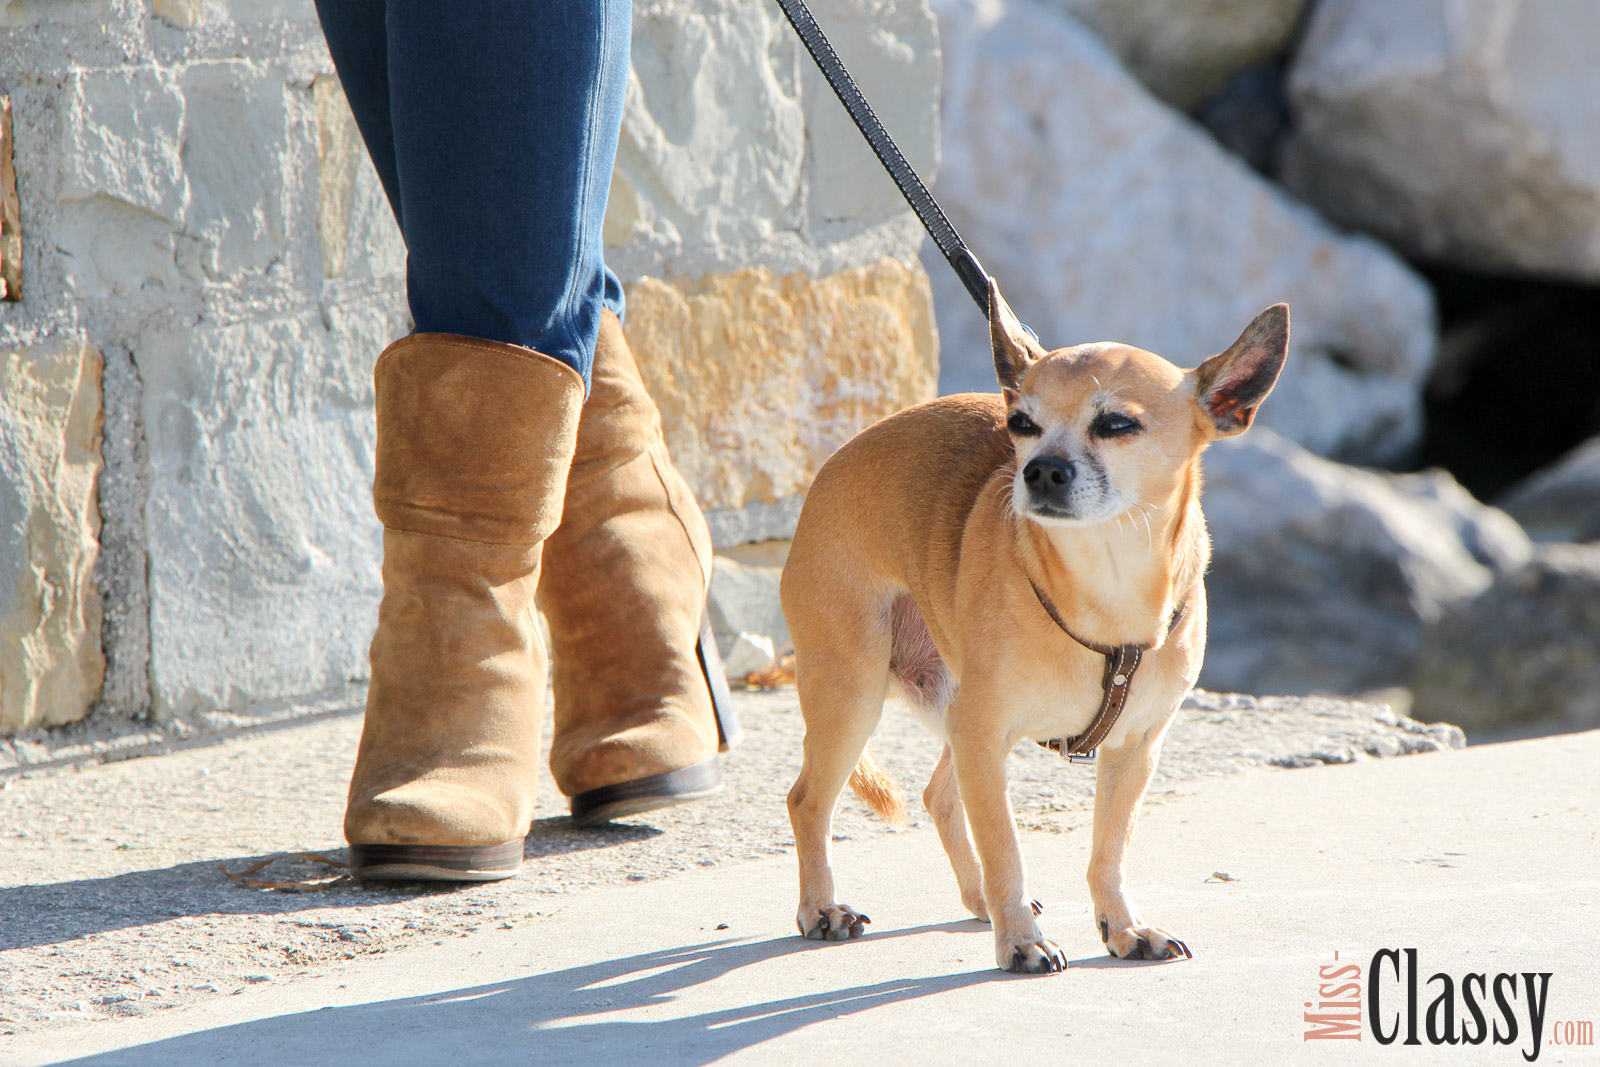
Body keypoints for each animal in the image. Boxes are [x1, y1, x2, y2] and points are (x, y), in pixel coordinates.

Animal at [774, 283, 1286, 979]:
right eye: (1021, 424)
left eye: (1116, 424)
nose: (1040, 469)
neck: (1106, 582)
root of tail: (828, 467)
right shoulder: (983, 733)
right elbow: (1007, 849)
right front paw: (1020, 941)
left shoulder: (1132, 751)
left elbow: (1109, 850)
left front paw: (1124, 927)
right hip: (853, 694)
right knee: (809, 800)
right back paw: (822, 908)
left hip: (948, 711)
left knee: (940, 795)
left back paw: (976, 899)